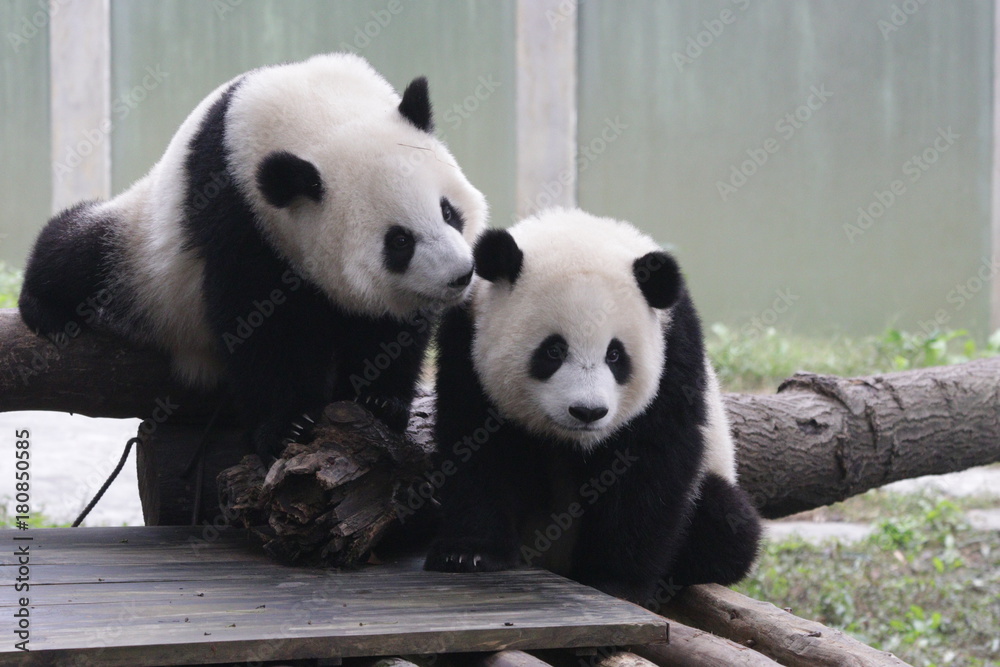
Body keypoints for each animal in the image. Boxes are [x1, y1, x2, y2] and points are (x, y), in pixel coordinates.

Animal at [19, 53, 487, 456]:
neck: (319, 113)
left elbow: (387, 325)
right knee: (82, 254)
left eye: (448, 211)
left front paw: (379, 400)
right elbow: (260, 320)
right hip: (144, 255)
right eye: (399, 241)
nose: (461, 275)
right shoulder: (239, 211)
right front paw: (287, 426)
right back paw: (44, 307)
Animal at [424, 208, 761, 604]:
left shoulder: (674, 350)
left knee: (729, 524)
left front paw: (615, 580)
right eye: (553, 350)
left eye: (615, 355)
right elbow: (476, 443)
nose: (587, 412)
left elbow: (649, 463)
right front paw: (469, 553)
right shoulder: (467, 337)